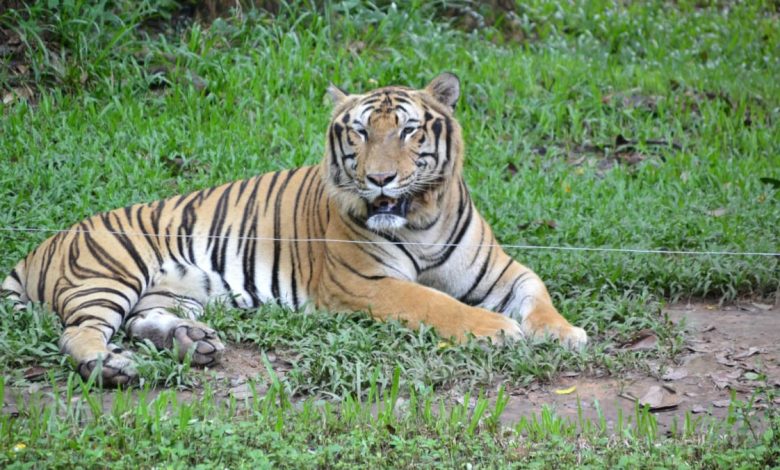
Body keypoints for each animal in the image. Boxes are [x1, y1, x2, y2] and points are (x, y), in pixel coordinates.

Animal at [0, 74, 584, 386]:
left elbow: (538, 294)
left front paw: (564, 333)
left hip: (174, 290)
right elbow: (437, 304)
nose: (380, 178)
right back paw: (113, 367)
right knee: (79, 332)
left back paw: (194, 343)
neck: (421, 218)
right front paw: (497, 330)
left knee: (143, 320)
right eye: (360, 132)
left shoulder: (504, 270)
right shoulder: (367, 284)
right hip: (107, 275)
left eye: (409, 130)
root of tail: (40, 246)